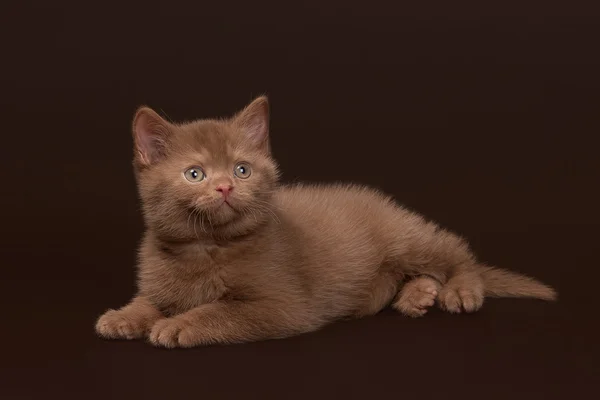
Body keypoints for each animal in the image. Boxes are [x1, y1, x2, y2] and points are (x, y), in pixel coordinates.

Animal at [94, 96, 556, 346]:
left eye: (242, 169)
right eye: (195, 174)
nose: (225, 187)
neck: (205, 248)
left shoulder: (282, 306)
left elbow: (219, 312)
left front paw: (177, 325)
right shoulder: (160, 280)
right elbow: (148, 299)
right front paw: (123, 316)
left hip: (406, 237)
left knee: (456, 251)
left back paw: (459, 289)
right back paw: (418, 294)